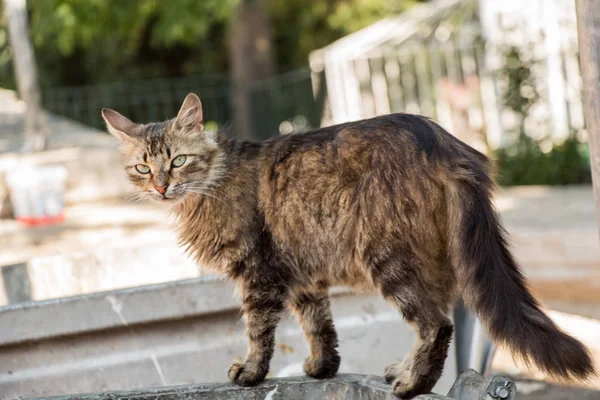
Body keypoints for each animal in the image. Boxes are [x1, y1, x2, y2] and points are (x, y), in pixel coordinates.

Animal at [101, 94, 592, 400]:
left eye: (178, 161)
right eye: (143, 168)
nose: (161, 187)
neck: (211, 183)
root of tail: (443, 142)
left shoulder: (258, 274)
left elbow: (259, 332)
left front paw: (251, 374)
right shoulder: (302, 278)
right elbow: (320, 328)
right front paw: (323, 369)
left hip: (388, 257)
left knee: (436, 326)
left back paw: (412, 386)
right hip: (426, 263)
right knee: (434, 321)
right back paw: (402, 372)